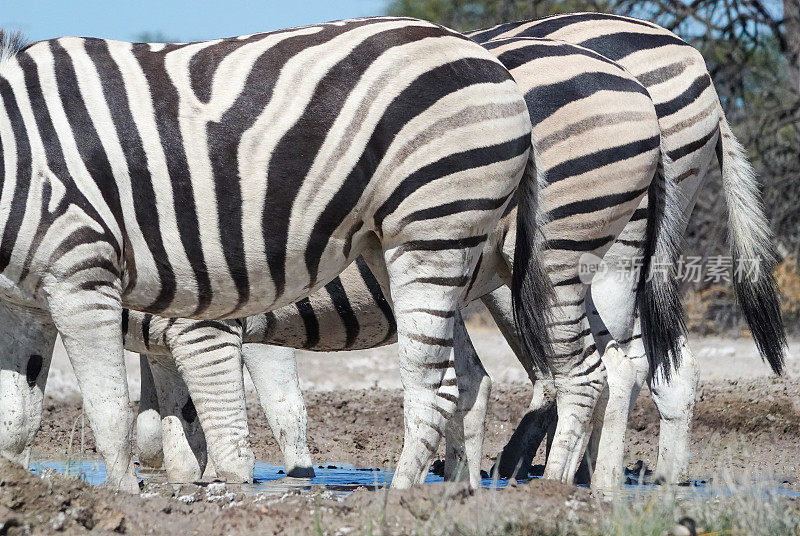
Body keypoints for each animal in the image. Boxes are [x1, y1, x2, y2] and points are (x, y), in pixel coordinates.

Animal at [0, 17, 544, 490]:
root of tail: (483, 54)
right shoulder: (24, 308)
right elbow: (17, 422)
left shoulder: (87, 276)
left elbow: (117, 411)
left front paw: (127, 501)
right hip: (404, 249)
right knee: (467, 380)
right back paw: (459, 492)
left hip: (440, 228)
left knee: (456, 382)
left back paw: (410, 494)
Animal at [123, 35, 676, 488]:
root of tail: (632, 85)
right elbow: (169, 417)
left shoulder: (227, 322)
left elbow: (262, 409)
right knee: (611, 367)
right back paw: (593, 484)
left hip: (550, 265)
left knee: (588, 371)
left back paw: (566, 481)